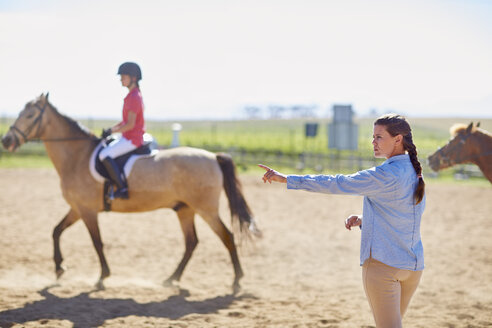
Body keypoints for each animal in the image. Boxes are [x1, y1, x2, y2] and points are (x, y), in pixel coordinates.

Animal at [0, 93, 262, 290]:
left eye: (30, 115)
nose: (6, 140)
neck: (77, 156)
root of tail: (213, 157)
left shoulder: (87, 211)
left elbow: (97, 242)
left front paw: (102, 277)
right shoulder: (77, 208)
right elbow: (56, 231)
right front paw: (59, 268)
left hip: (205, 209)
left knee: (227, 237)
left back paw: (236, 281)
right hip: (184, 209)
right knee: (191, 242)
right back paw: (171, 279)